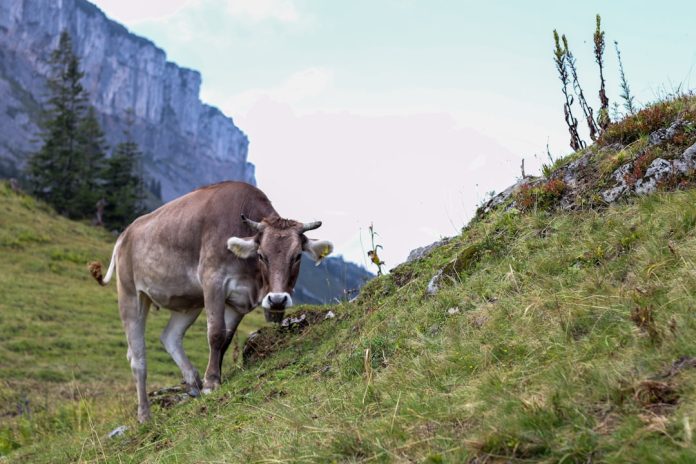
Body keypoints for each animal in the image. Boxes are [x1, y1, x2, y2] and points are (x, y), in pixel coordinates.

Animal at [88, 181, 333, 422]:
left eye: (297, 256)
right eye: (262, 255)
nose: (277, 299)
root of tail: (125, 234)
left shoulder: (240, 301)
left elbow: (226, 339)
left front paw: (212, 377)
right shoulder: (213, 280)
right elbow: (215, 333)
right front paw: (212, 382)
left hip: (188, 302)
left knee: (170, 336)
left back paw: (192, 381)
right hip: (131, 294)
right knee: (137, 359)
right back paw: (145, 415)